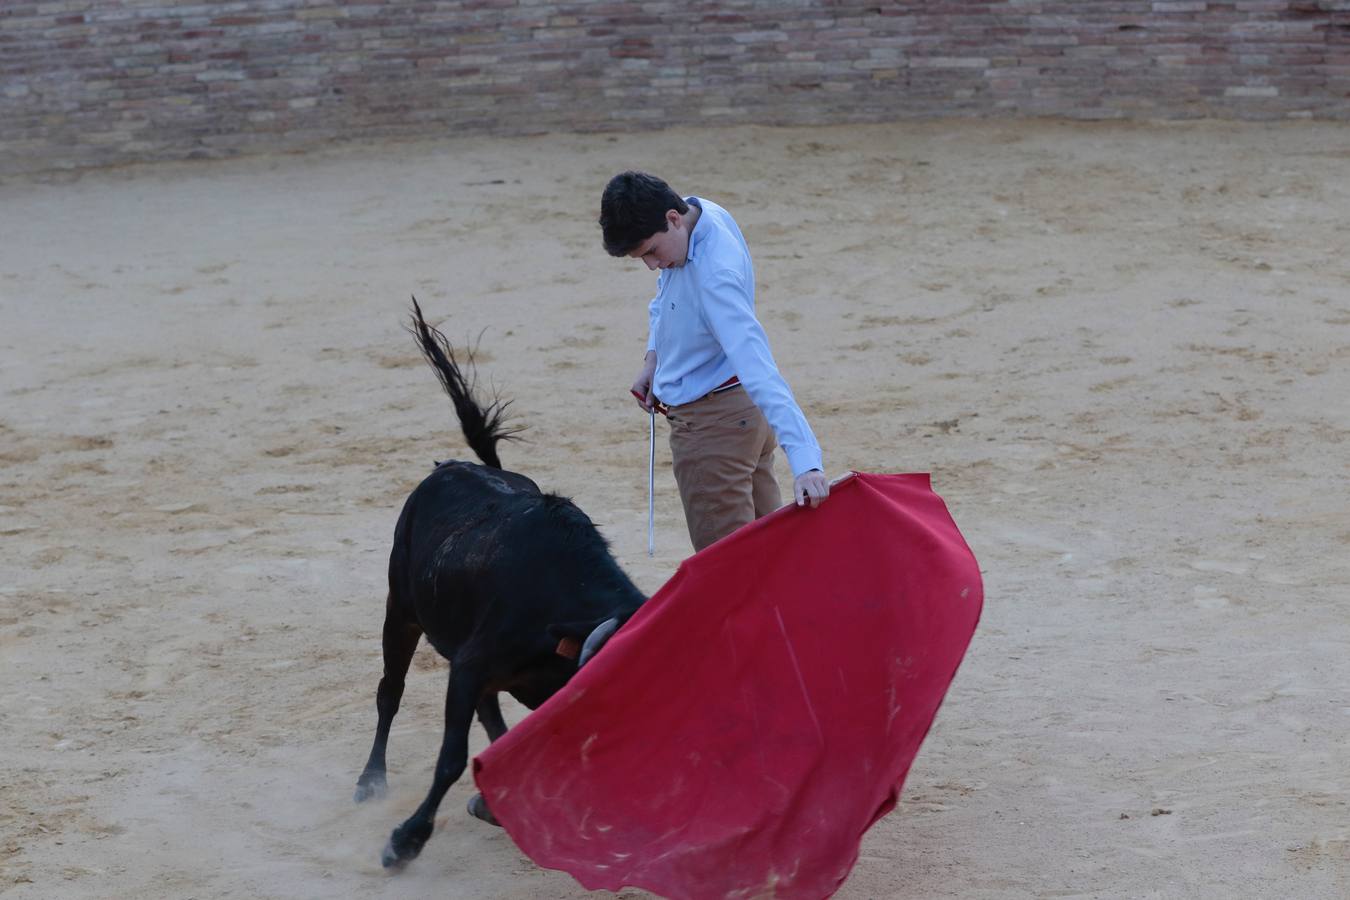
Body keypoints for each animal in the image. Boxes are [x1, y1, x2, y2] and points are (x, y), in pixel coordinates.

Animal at [356, 300, 645, 863]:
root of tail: (450, 466)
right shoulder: (469, 665)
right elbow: (451, 755)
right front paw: (405, 842)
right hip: (401, 611)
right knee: (389, 691)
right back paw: (371, 781)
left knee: (489, 715)